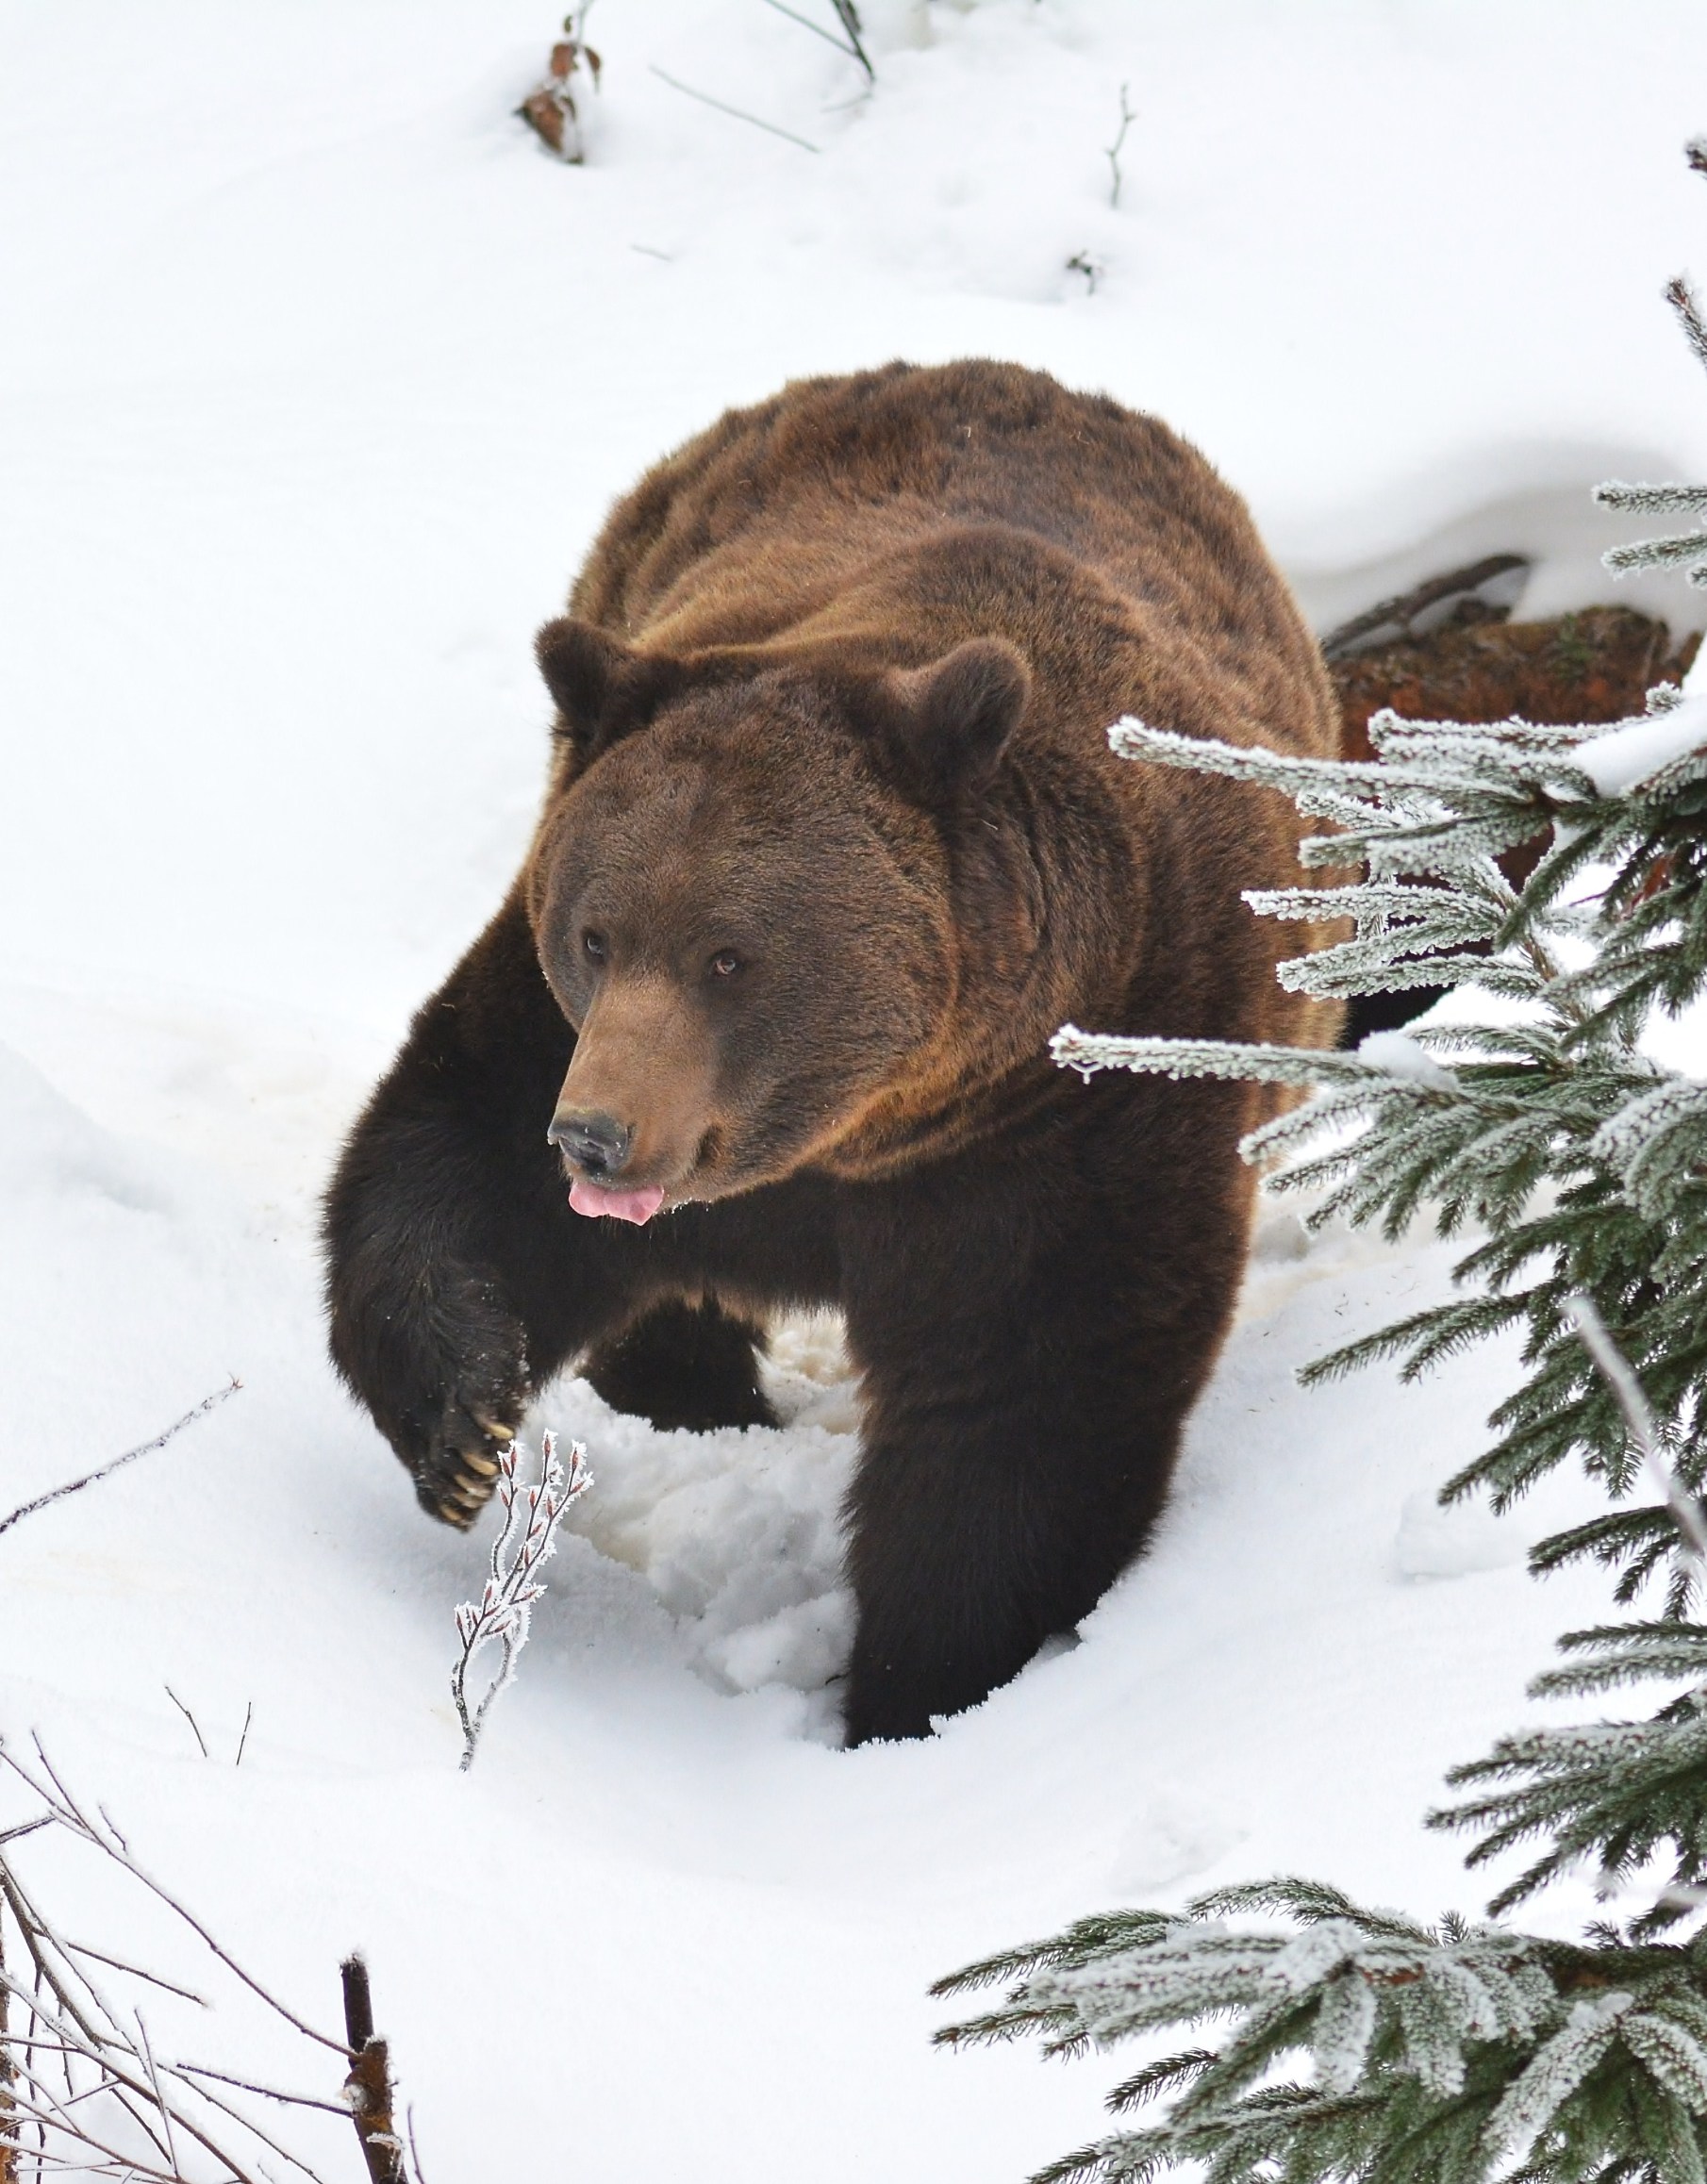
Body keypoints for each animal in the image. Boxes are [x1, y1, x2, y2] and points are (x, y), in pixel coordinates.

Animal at [323, 359, 1342, 1745]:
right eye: (596, 932)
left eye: (730, 956)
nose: (596, 1137)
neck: (865, 1124)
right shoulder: (552, 1020)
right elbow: (450, 1165)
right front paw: (466, 1424)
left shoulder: (1086, 1096)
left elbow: (1025, 1402)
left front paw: (922, 1682)